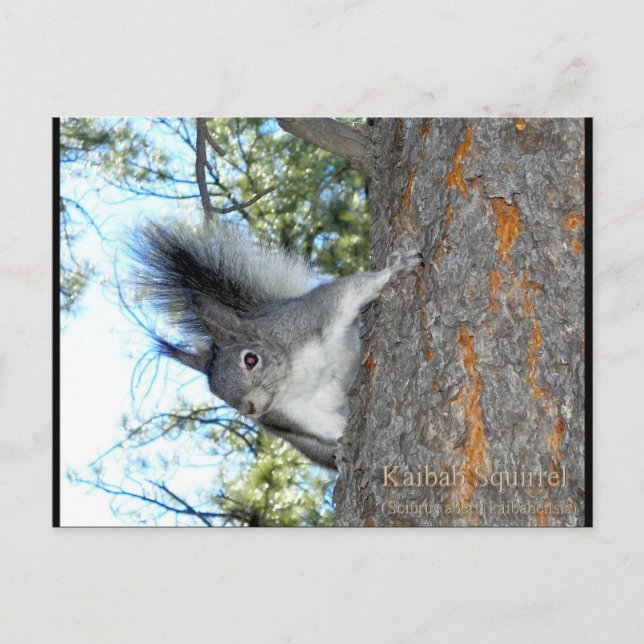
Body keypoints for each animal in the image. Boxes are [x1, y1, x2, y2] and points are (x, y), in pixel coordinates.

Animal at [129, 220, 423, 470]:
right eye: (215, 392)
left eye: (251, 359)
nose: (249, 409)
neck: (293, 375)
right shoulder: (294, 415)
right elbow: (326, 426)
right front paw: (344, 443)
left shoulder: (316, 314)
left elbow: (355, 289)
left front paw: (395, 270)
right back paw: (338, 456)